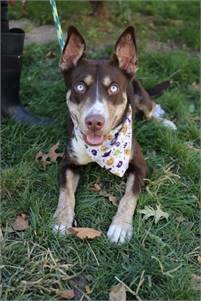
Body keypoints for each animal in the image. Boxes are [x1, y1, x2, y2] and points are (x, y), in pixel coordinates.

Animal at [53, 26, 176, 244]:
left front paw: (120, 227)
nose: (94, 122)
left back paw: (164, 121)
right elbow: (66, 193)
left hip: (140, 95)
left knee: (150, 108)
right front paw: (61, 220)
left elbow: (129, 196)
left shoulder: (140, 165)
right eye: (79, 86)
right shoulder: (68, 163)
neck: (101, 151)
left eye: (113, 88)